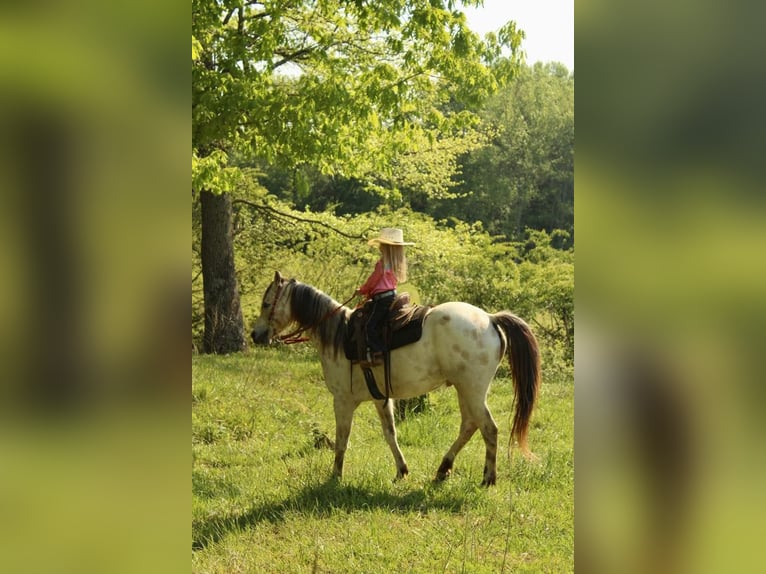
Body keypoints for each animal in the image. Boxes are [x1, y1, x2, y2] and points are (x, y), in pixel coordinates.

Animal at [252, 272, 540, 488]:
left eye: (266, 304)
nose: (256, 335)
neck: (338, 335)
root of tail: (490, 319)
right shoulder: (381, 399)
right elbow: (390, 434)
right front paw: (402, 471)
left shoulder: (343, 401)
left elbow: (342, 439)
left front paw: (335, 476)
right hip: (465, 390)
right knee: (470, 425)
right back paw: (443, 468)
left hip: (472, 390)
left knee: (488, 428)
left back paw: (488, 478)